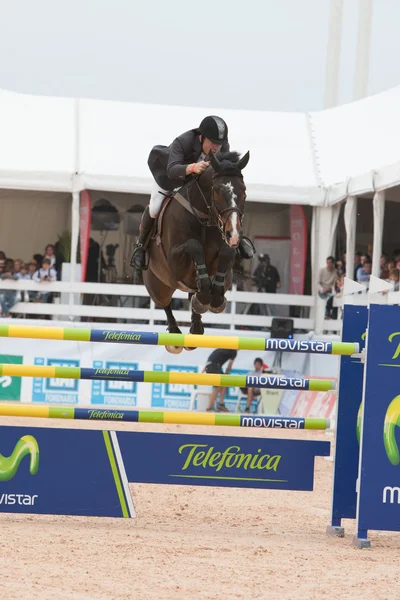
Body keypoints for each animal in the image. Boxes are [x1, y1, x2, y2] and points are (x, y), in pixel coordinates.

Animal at [142, 149, 250, 352]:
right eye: (217, 190)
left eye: (244, 192)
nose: (233, 234)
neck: (204, 217)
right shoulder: (175, 265)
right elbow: (194, 245)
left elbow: (226, 254)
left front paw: (215, 299)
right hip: (158, 286)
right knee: (165, 303)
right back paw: (176, 334)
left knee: (194, 297)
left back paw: (197, 323)